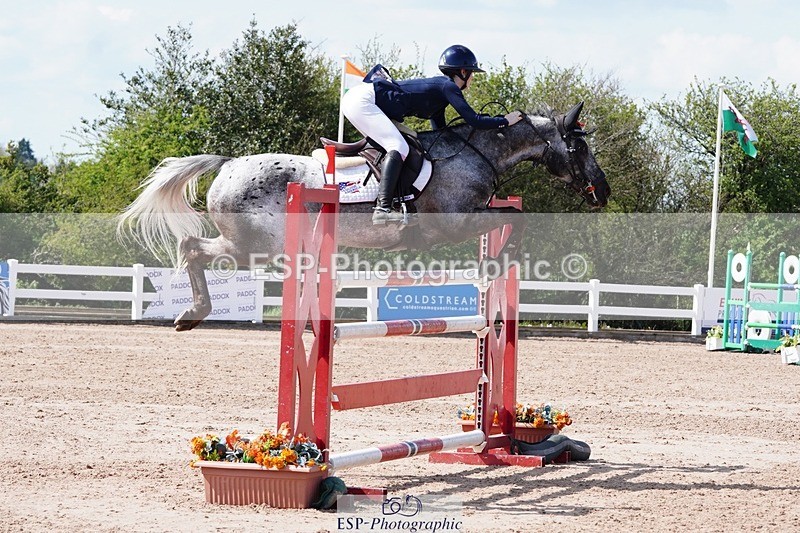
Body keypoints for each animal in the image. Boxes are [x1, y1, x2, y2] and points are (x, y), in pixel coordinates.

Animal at [119, 102, 610, 331]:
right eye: (580, 146)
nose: (602, 192)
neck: (475, 152)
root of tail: (228, 165)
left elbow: (514, 218)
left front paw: (495, 263)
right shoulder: (456, 221)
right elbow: (517, 222)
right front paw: (495, 264)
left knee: (194, 249)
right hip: (253, 246)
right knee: (194, 249)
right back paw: (193, 313)